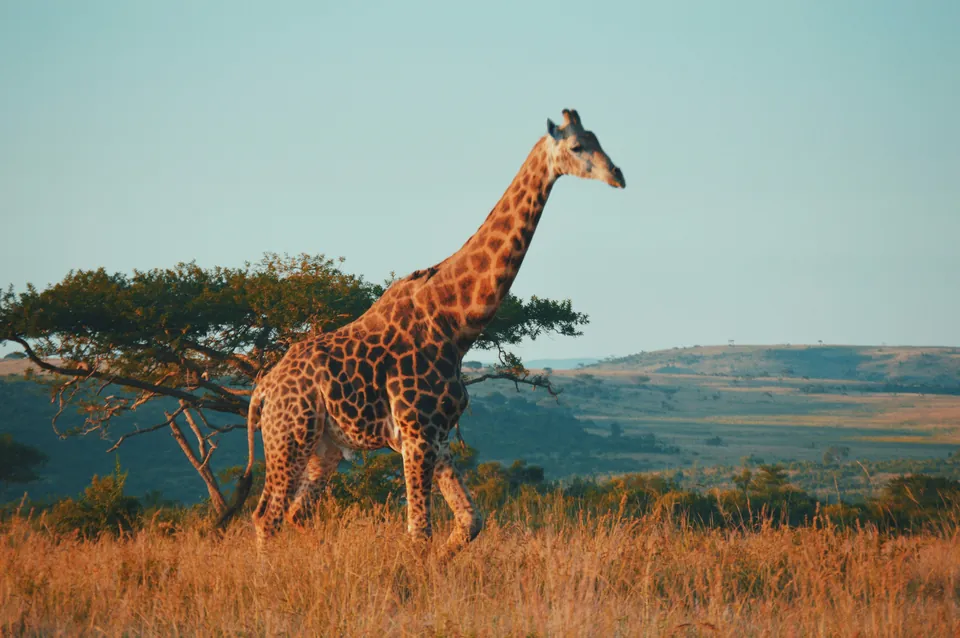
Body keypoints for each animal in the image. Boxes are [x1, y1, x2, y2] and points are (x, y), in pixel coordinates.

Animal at [221, 109, 625, 557]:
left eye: (598, 138)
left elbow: (471, 521)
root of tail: (262, 390)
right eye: (577, 146)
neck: (456, 323)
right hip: (290, 435)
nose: (618, 175)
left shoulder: (437, 435)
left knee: (296, 513)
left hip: (325, 447)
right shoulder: (416, 434)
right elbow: (420, 533)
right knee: (267, 515)